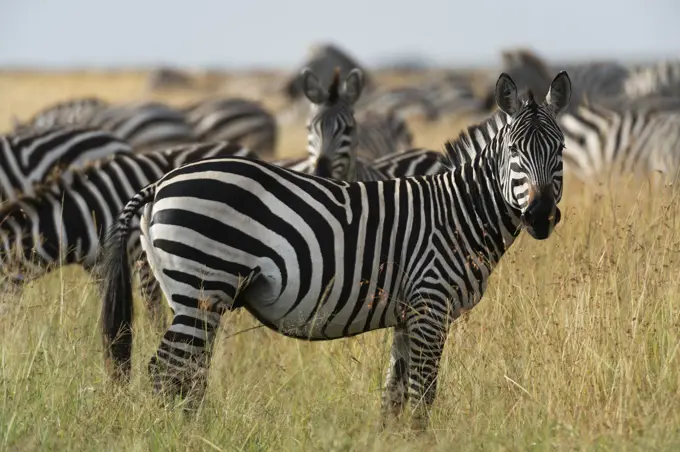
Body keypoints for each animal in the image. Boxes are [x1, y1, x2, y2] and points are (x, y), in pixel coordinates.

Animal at [98, 69, 572, 428]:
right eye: (513, 150)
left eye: (561, 149)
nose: (541, 216)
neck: (460, 212)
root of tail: (161, 182)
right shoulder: (431, 305)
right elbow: (423, 395)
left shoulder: (409, 313)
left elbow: (394, 396)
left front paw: (392, 440)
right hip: (203, 285)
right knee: (168, 371)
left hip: (190, 294)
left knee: (186, 372)